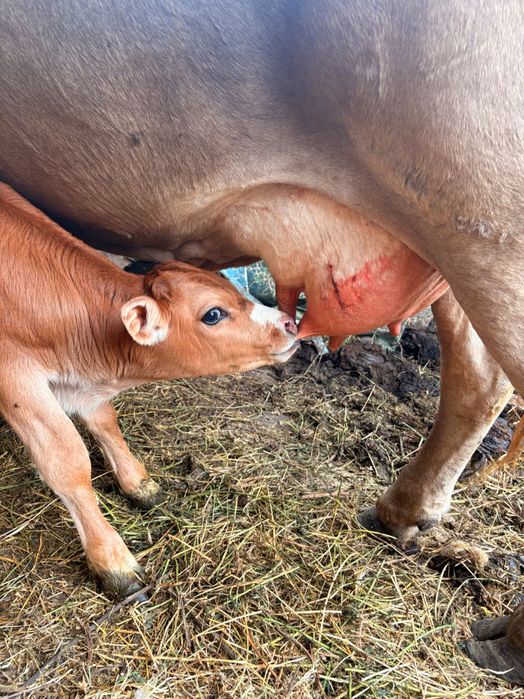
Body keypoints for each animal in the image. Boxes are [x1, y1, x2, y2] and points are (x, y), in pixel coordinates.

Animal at [0, 183, 298, 598]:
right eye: (213, 314)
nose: (290, 322)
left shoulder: (86, 389)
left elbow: (106, 421)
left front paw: (139, 484)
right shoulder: (15, 376)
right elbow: (68, 462)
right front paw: (113, 561)